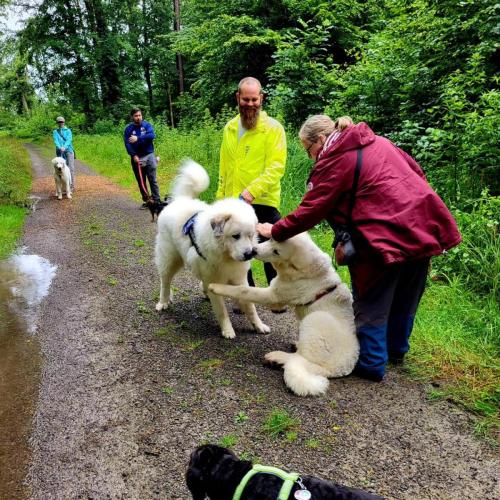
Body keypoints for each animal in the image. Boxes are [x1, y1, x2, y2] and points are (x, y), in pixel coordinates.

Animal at [154, 160, 270, 340]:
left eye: (250, 236)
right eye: (235, 236)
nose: (249, 253)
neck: (225, 255)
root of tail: (181, 200)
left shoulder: (240, 279)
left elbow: (250, 307)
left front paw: (258, 326)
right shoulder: (214, 280)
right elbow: (222, 311)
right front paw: (228, 331)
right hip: (169, 259)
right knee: (165, 282)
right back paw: (163, 302)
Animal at [209, 232, 358, 396]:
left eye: (277, 252)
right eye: (271, 239)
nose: (253, 251)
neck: (301, 272)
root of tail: (338, 369)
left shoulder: (273, 297)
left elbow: (242, 290)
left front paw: (215, 286)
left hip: (314, 319)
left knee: (298, 359)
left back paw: (276, 357)